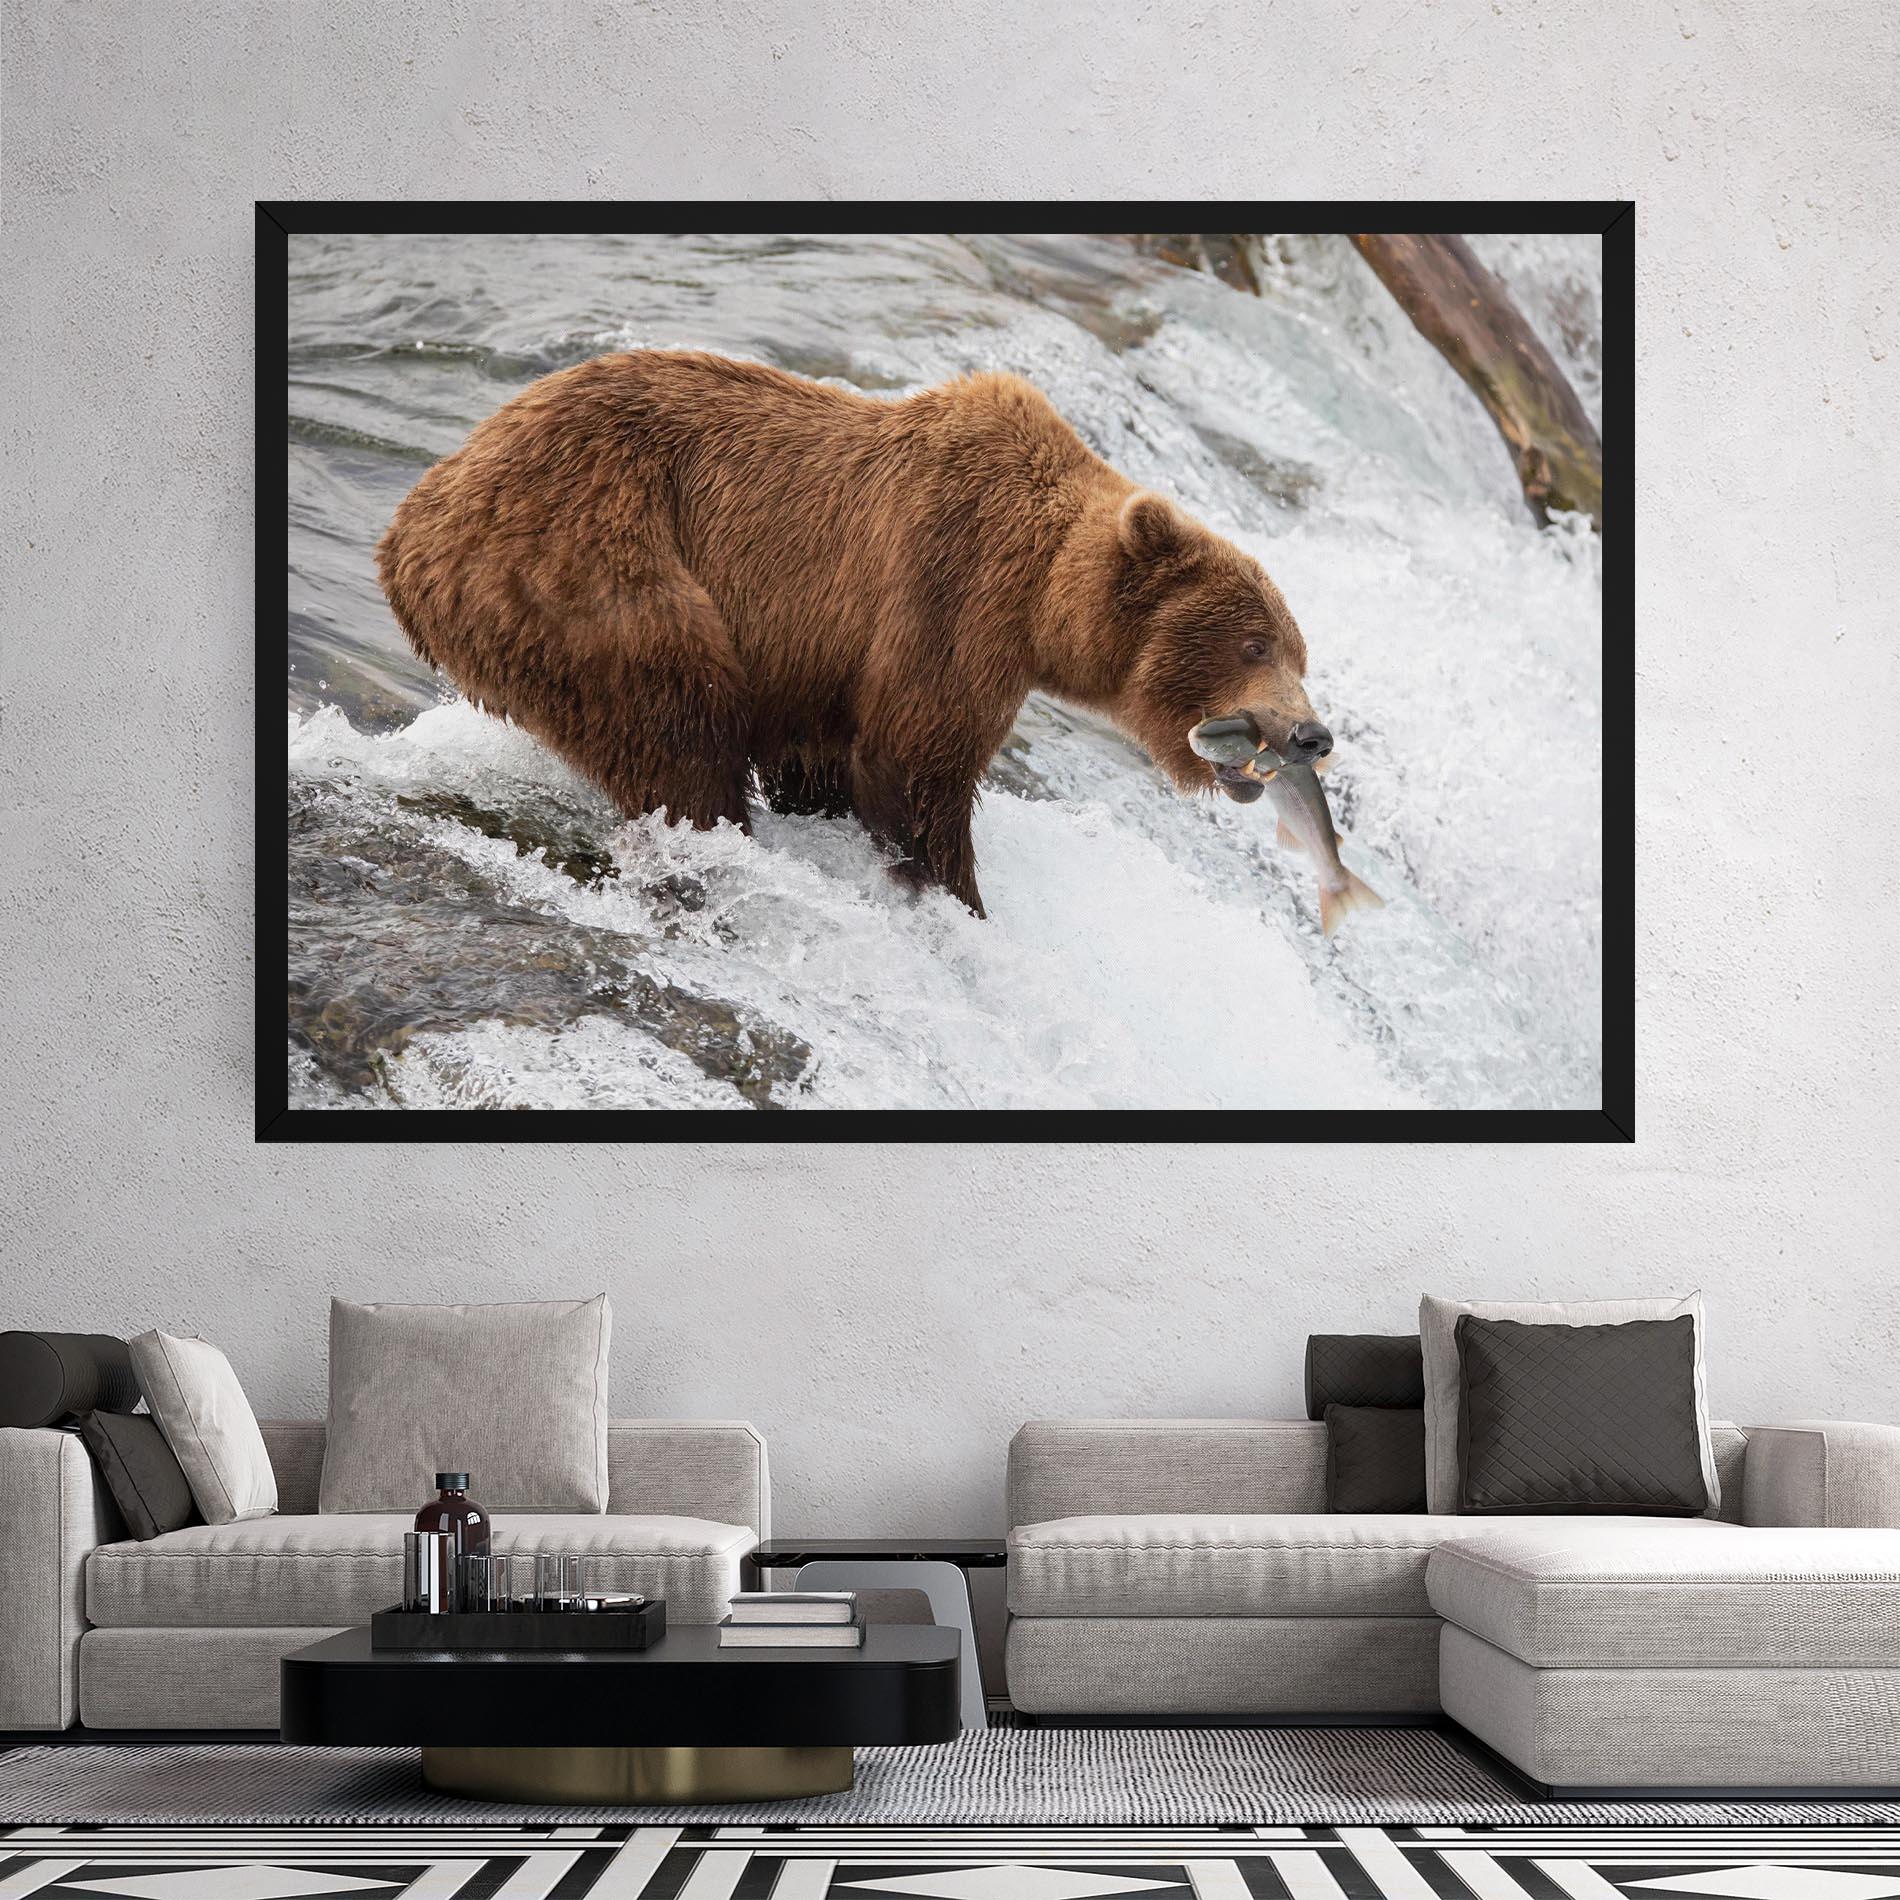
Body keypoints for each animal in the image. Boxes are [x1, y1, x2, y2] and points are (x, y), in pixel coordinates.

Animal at [376, 350, 1332, 918]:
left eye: (1299, 652)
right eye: (1254, 644)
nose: (1311, 735)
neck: (1042, 599)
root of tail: (412, 523)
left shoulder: (822, 665)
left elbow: (826, 760)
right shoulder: (951, 590)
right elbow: (915, 763)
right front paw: (956, 897)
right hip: (589, 562)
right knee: (676, 722)